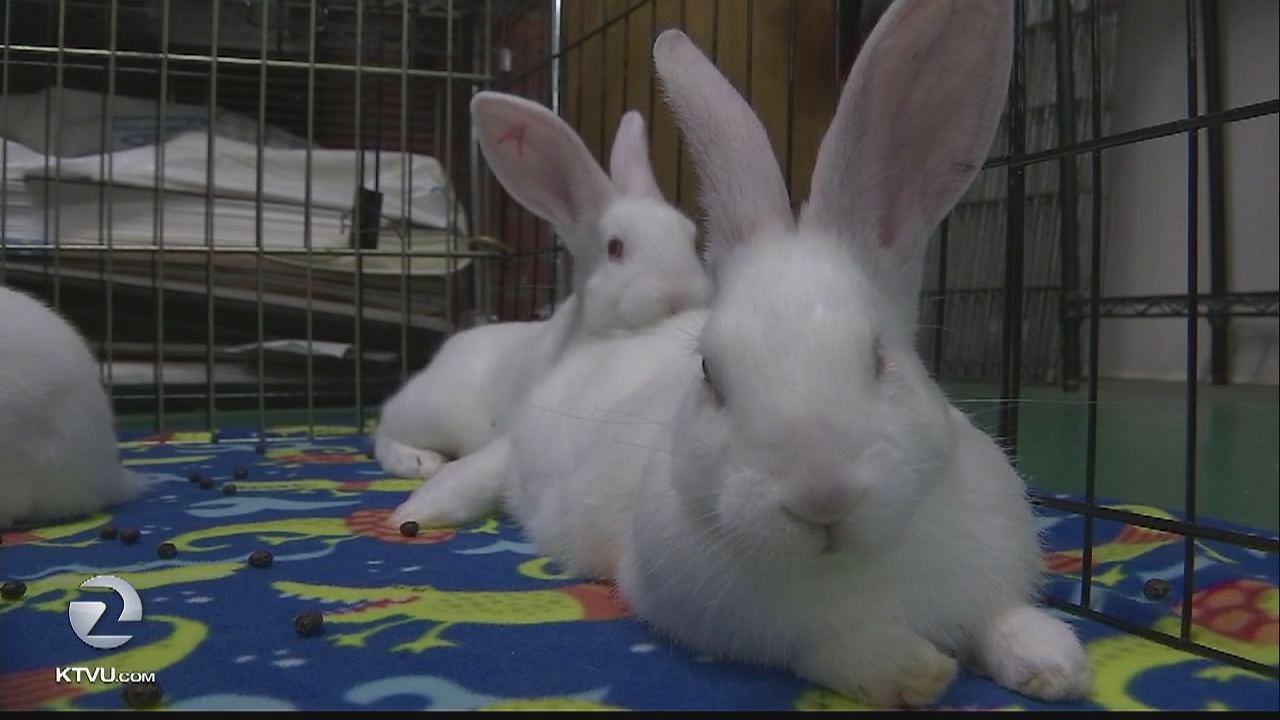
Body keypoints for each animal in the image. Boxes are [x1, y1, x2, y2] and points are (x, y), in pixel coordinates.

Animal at [378, 91, 711, 528]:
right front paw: (414, 512)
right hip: (433, 412)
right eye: (615, 247)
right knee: (383, 425)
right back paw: (419, 462)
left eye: (692, 239)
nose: (682, 294)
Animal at [497, 0, 1094, 709]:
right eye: (710, 374)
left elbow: (1003, 615)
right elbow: (840, 648)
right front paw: (916, 671)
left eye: (879, 355)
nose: (823, 498)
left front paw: (1055, 664)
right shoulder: (753, 627)